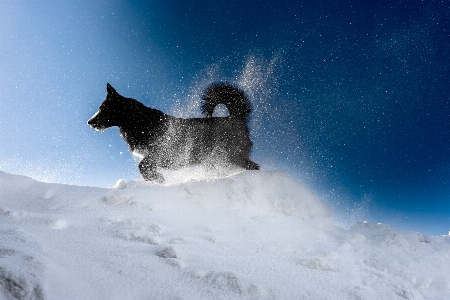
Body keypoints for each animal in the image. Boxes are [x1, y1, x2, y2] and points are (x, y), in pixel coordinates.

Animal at [88, 81, 258, 183]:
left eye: (104, 108)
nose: (89, 122)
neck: (138, 121)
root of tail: (236, 117)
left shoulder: (160, 153)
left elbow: (142, 166)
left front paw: (158, 179)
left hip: (232, 157)